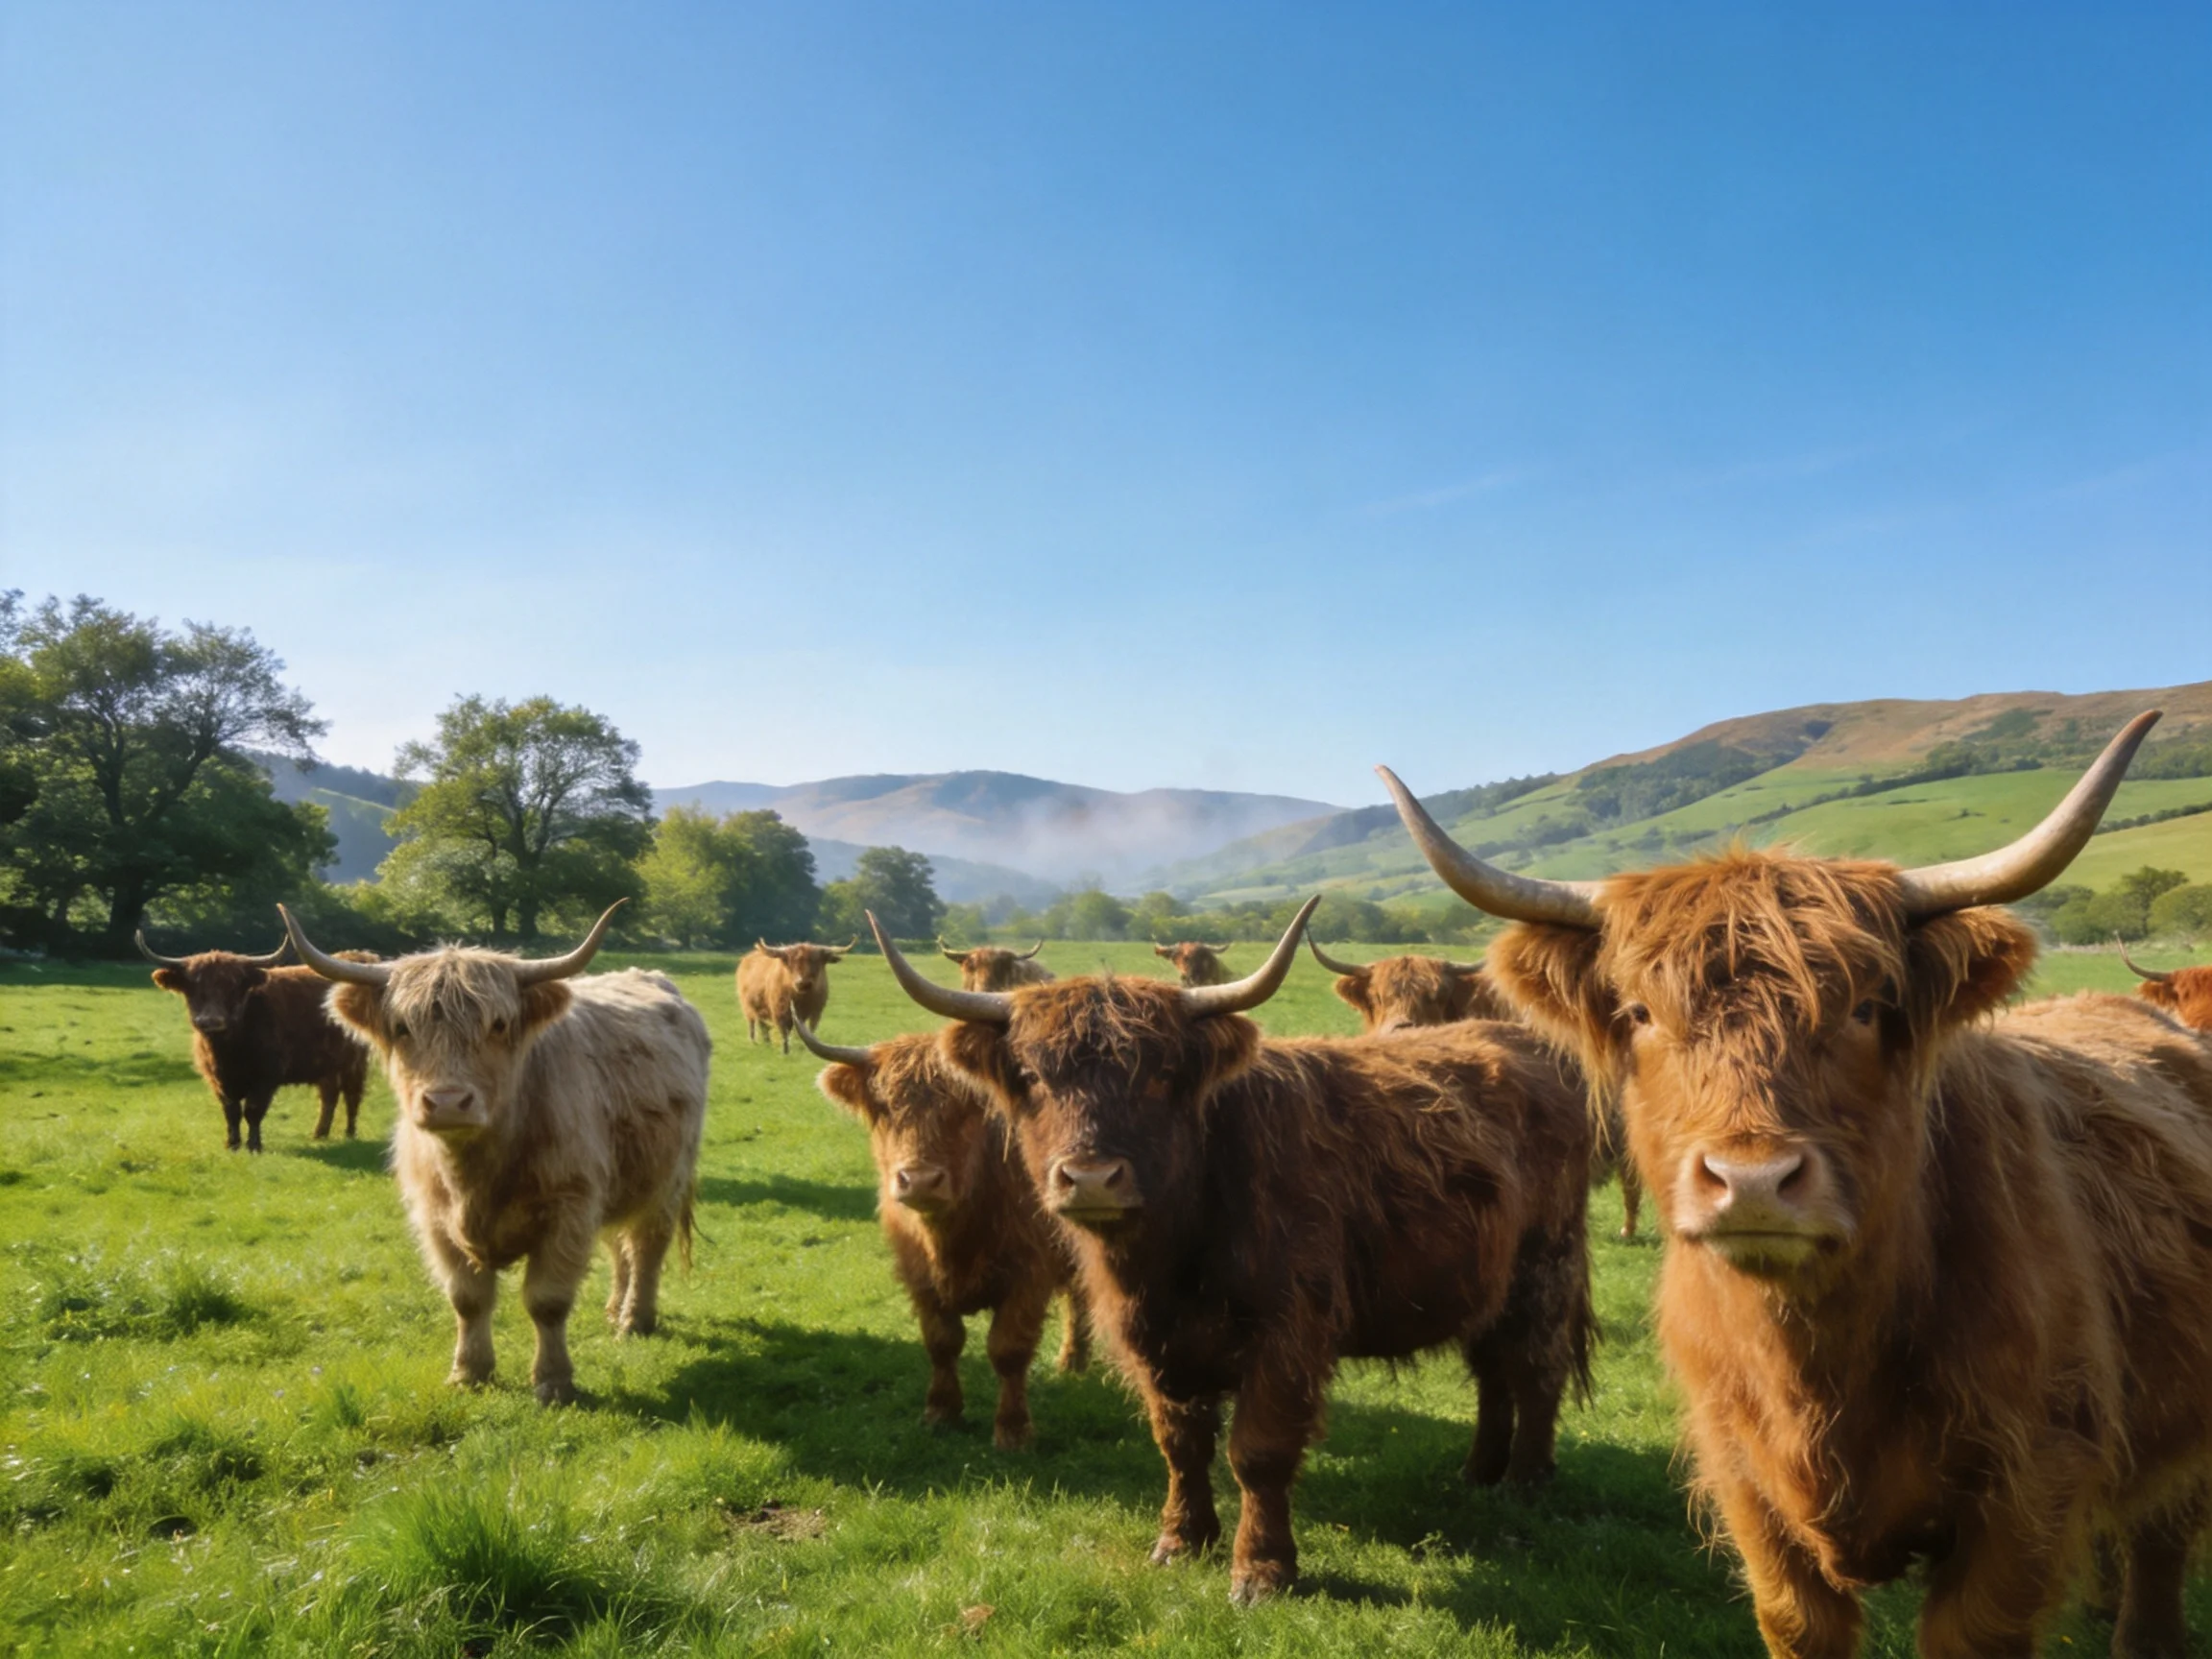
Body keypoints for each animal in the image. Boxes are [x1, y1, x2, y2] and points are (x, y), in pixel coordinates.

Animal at [140, 934, 372, 1152]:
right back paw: (319, 1134)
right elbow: (231, 1112)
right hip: (328, 1065)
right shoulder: (217, 1079)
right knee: (329, 1095)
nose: (211, 1021)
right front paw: (232, 1145)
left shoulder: (266, 1077)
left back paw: (349, 1134)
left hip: (355, 1062)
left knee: (352, 1095)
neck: (228, 1052)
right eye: (192, 987)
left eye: (233, 986)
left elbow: (252, 1111)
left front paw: (254, 1146)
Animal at [279, 902, 712, 1406]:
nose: (447, 1101)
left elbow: (547, 1301)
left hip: (666, 1182)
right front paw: (470, 1372)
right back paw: (613, 1308)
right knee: (618, 1245)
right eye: (402, 1028)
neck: (475, 1174)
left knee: (646, 1248)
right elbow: (467, 1299)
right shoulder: (435, 1217)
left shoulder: (569, 1208)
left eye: (498, 1025)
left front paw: (553, 1381)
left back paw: (634, 1319)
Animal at [792, 1012, 1091, 1448]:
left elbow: (1008, 1349)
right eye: (884, 1107)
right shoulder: (919, 1274)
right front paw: (941, 1411)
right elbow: (942, 1341)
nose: (919, 1180)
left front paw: (1013, 1430)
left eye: (966, 1105)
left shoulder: (1029, 1275)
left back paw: (1072, 1359)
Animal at [878, 898, 1597, 1606]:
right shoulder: (1153, 1338)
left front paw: (1261, 1571)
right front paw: (1181, 1540)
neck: (1173, 1254)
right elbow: (1180, 1442)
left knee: (1536, 1369)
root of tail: (1525, 1042)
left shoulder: (1287, 1334)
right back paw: (1478, 1471)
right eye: (1030, 1075)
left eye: (1162, 1074)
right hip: (1488, 1283)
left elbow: (1258, 1452)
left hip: (1544, 1270)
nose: (1091, 1178)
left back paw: (1524, 1482)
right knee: (1493, 1371)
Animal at [1380, 711, 2212, 1659]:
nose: (1751, 1181)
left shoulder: (2028, 1489)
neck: (1818, 1359)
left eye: (1866, 1006)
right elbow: (1796, 1622)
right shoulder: (1748, 1487)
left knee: (2162, 1540)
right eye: (1639, 1013)